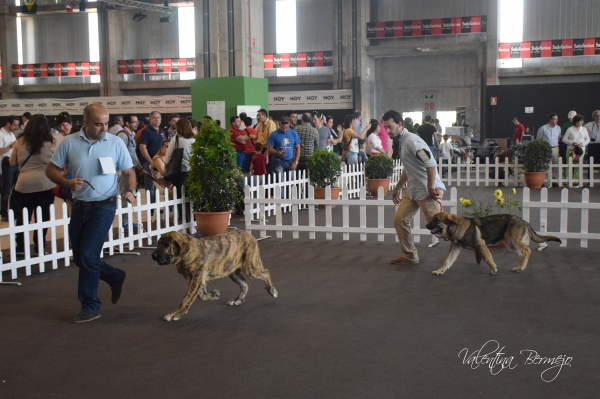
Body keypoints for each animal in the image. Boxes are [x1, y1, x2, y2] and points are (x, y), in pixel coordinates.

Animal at [424, 214, 560, 276]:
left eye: (436, 219)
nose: (426, 225)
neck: (456, 228)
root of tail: (524, 221)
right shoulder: (455, 249)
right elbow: (446, 261)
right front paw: (439, 271)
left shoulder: (482, 246)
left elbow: (487, 258)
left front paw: (494, 268)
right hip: (512, 243)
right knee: (523, 253)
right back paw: (519, 267)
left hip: (511, 242)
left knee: (527, 250)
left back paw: (521, 267)